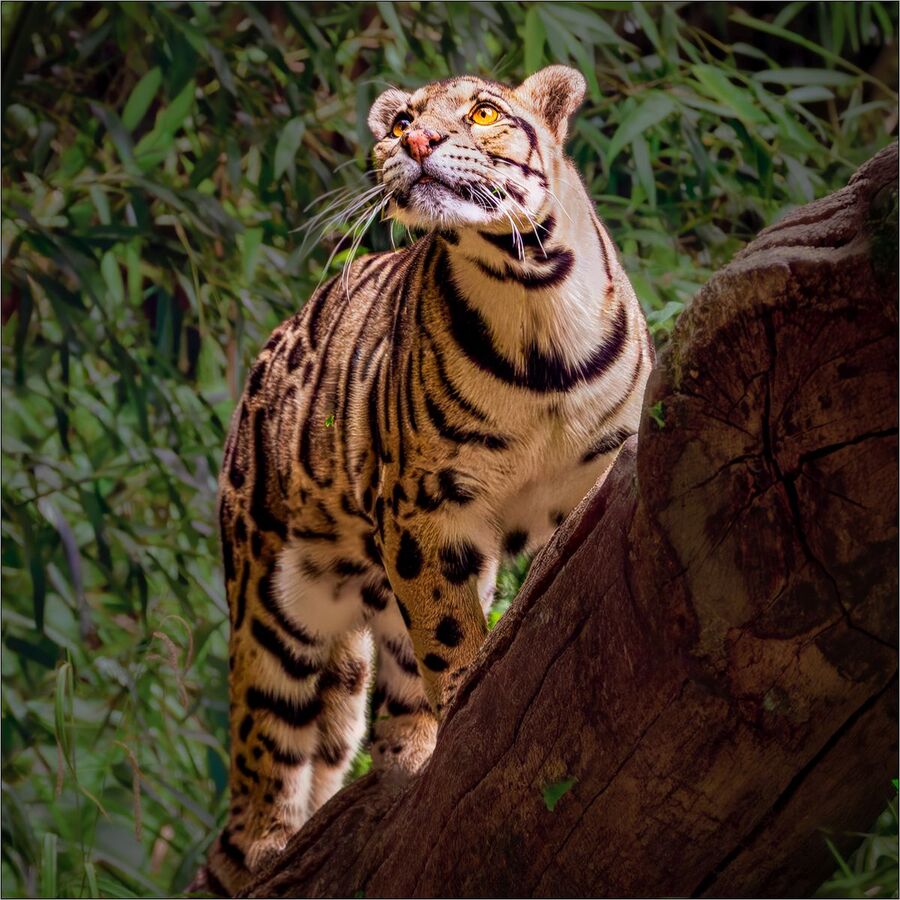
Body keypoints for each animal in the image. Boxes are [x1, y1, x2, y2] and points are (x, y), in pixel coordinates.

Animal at [197, 65, 654, 896]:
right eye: (405, 119)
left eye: (484, 113)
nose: (415, 142)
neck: (531, 295)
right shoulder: (427, 506)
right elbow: (449, 634)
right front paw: (473, 693)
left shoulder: (604, 465)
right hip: (274, 608)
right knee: (262, 762)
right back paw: (271, 844)